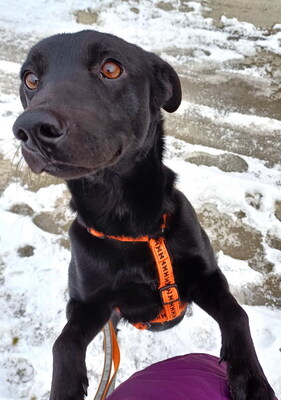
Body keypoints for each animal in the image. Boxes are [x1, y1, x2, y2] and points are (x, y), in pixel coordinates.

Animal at [12, 31, 274, 400]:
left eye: (111, 68)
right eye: (31, 79)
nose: (31, 128)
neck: (128, 222)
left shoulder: (206, 276)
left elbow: (237, 314)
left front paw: (250, 378)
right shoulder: (88, 304)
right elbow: (62, 343)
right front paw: (65, 388)